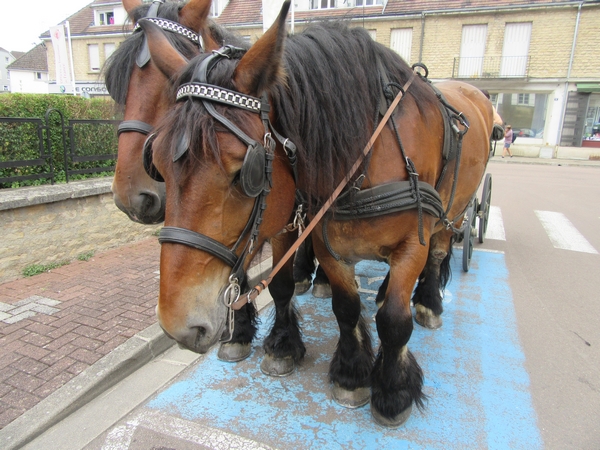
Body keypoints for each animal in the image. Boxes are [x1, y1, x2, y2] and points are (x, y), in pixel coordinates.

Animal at [139, 1, 492, 428]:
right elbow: (343, 306)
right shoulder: (323, 238)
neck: (366, 155)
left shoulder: (411, 242)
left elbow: (394, 320)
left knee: (438, 253)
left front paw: (393, 391)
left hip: (452, 210)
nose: (177, 324)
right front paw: (350, 372)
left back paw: (427, 302)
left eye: (244, 172)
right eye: (156, 161)